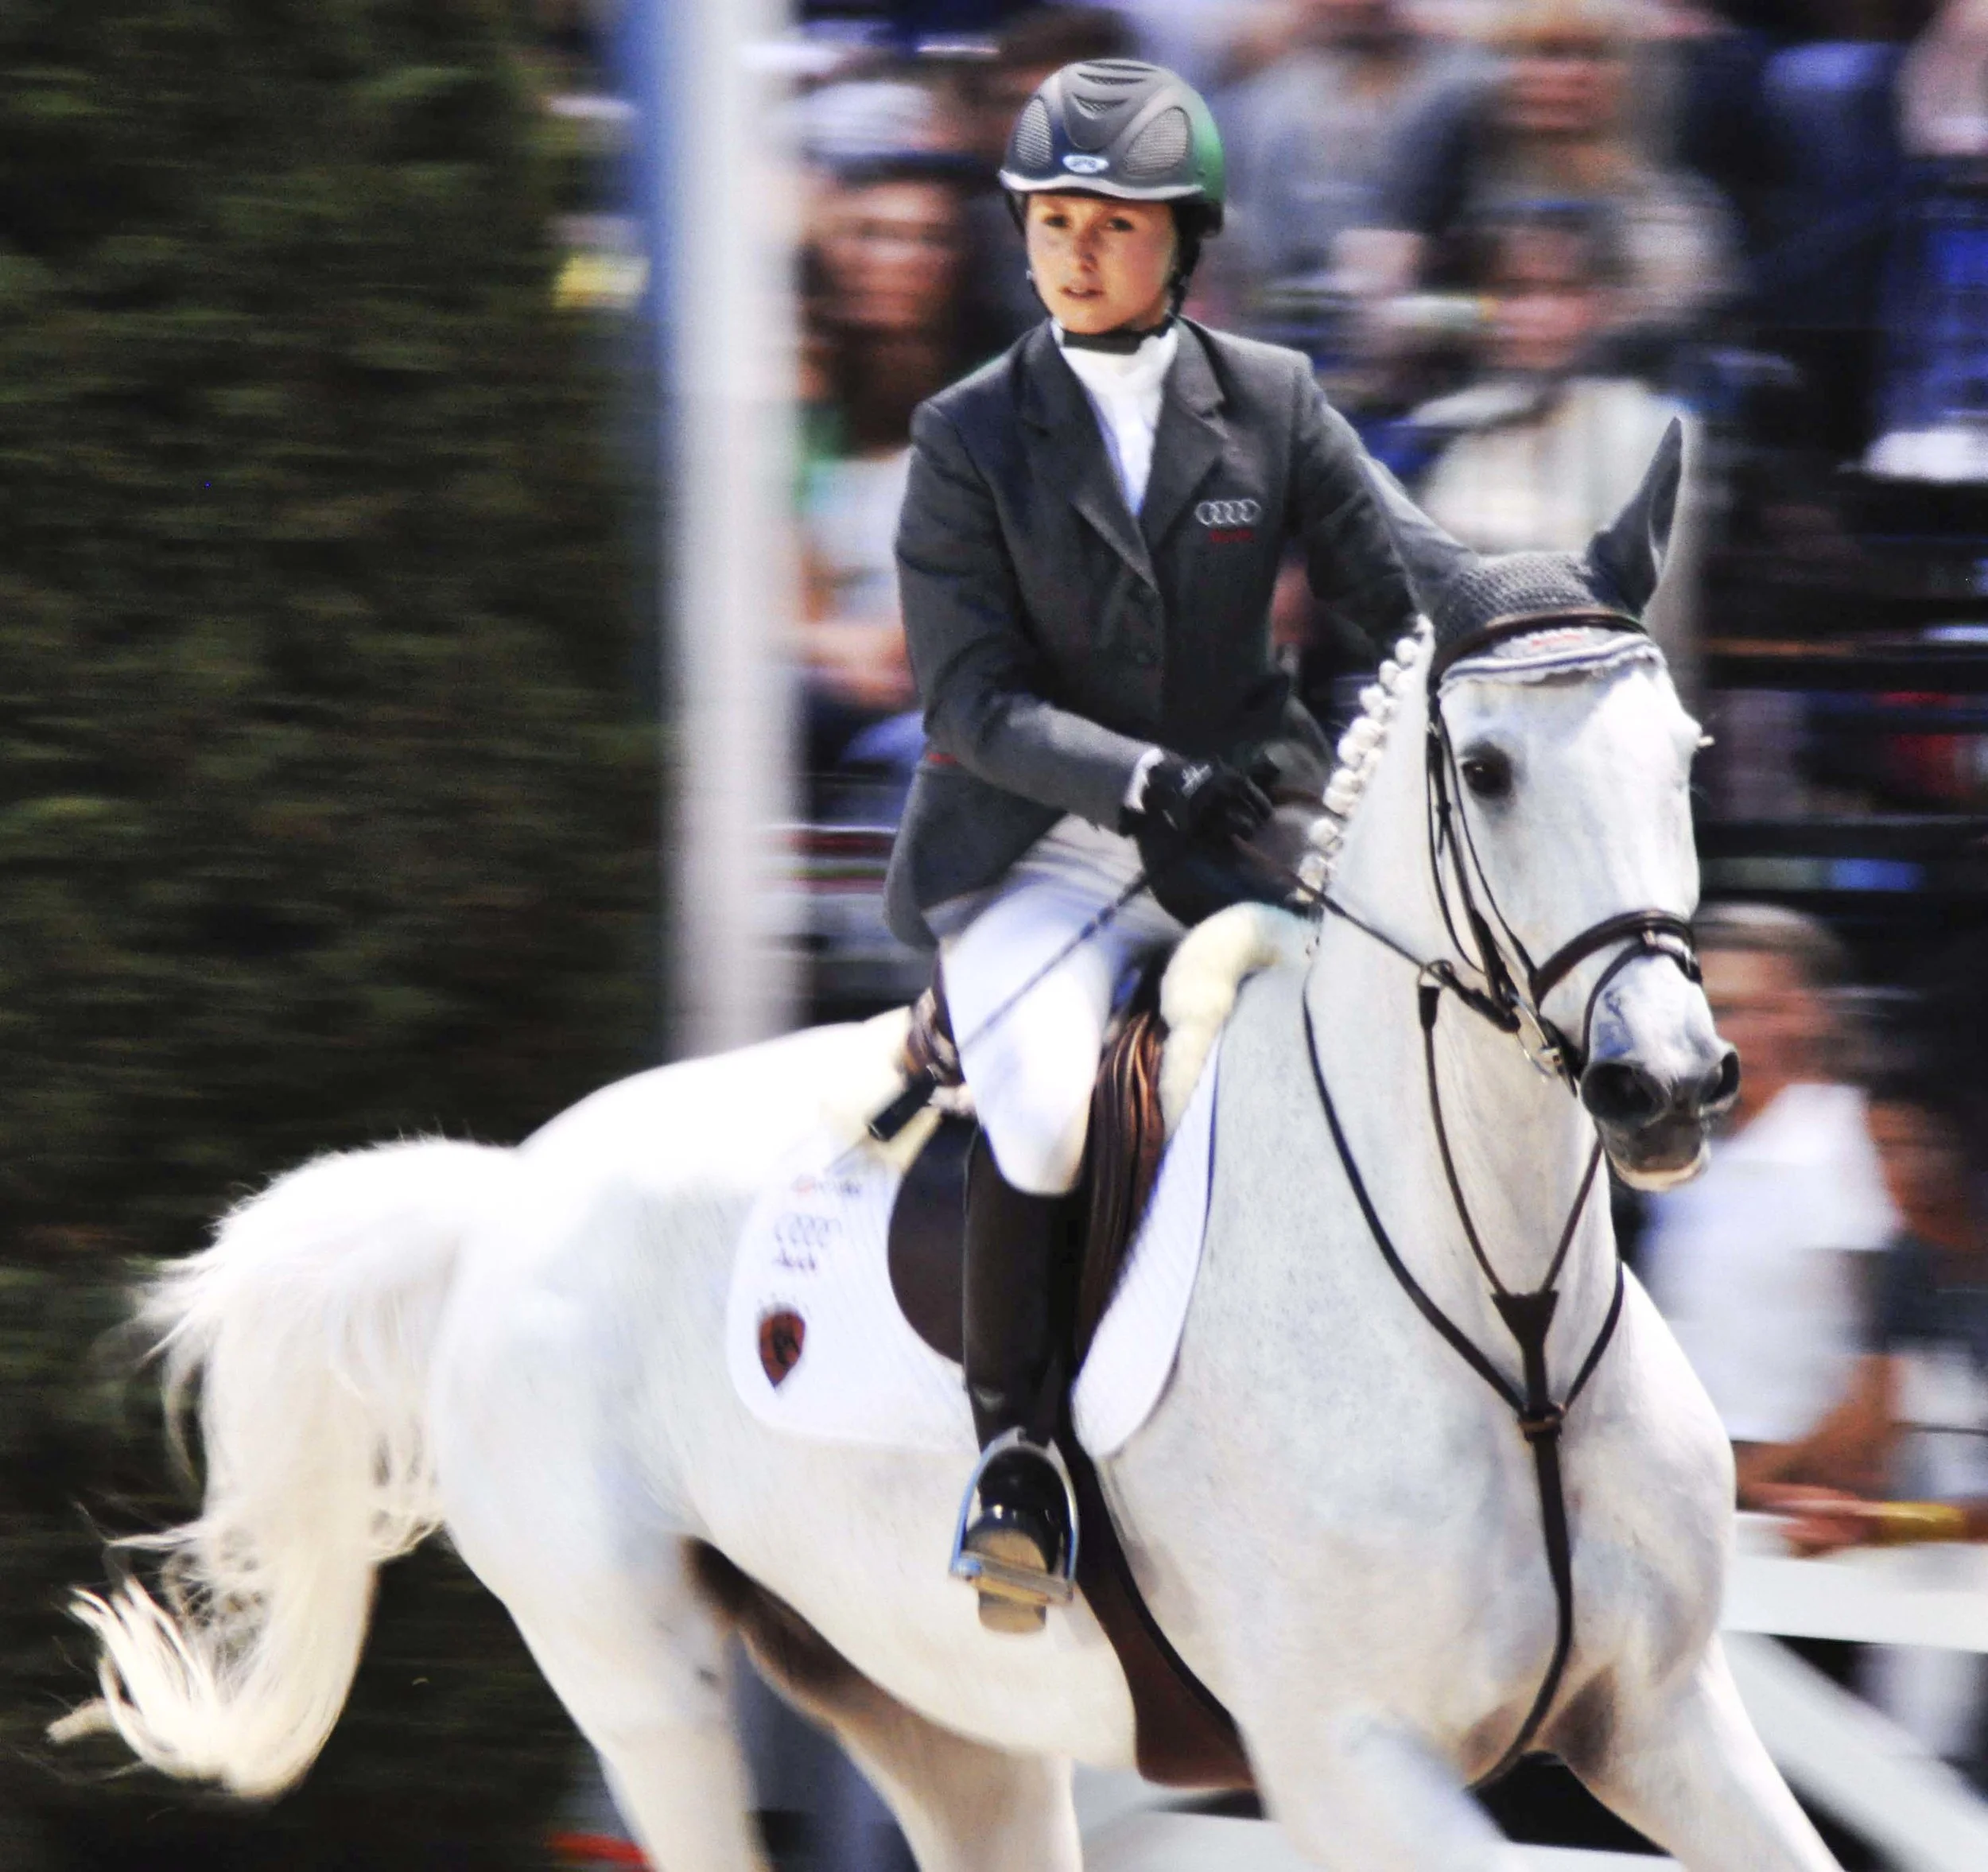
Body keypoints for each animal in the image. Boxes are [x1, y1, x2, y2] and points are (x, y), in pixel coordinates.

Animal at [56, 445, 1844, 1871]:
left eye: (1686, 753)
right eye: (1483, 770)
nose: (1666, 1083)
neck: (1504, 1309)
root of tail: (506, 1195)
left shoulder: (1663, 1715)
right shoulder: (1350, 1760)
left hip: (928, 1702)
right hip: (643, 1675)